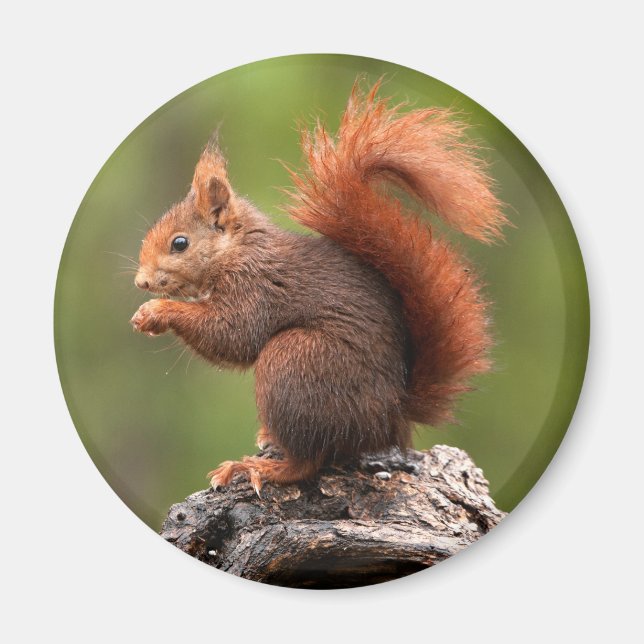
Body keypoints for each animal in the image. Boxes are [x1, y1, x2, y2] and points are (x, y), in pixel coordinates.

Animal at [130, 81, 507, 495]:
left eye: (179, 243)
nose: (141, 281)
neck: (237, 250)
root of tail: (392, 416)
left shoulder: (256, 287)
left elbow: (234, 335)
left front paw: (157, 311)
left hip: (296, 362)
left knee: (310, 460)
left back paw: (260, 468)